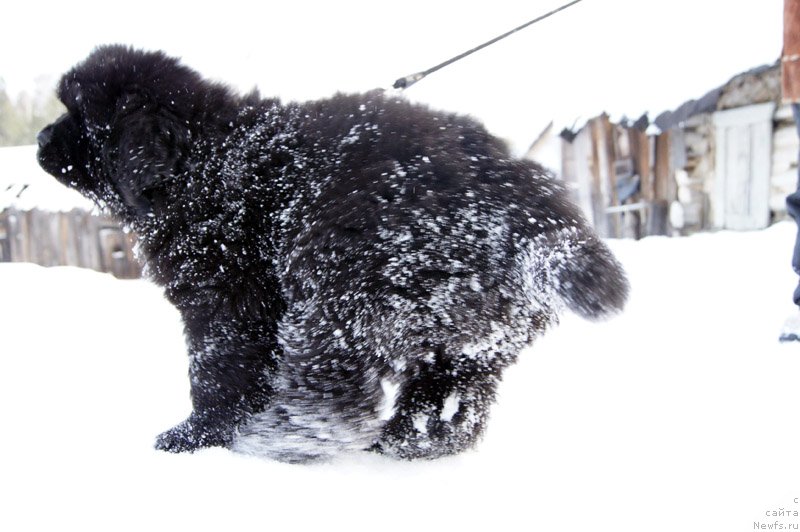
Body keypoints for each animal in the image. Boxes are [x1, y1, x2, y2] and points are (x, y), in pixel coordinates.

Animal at [37, 45, 628, 462]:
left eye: (78, 117)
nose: (40, 139)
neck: (203, 160)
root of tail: (522, 199)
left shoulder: (226, 298)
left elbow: (217, 370)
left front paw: (194, 437)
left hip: (342, 283)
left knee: (334, 389)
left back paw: (280, 441)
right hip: (473, 331)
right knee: (453, 398)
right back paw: (409, 443)